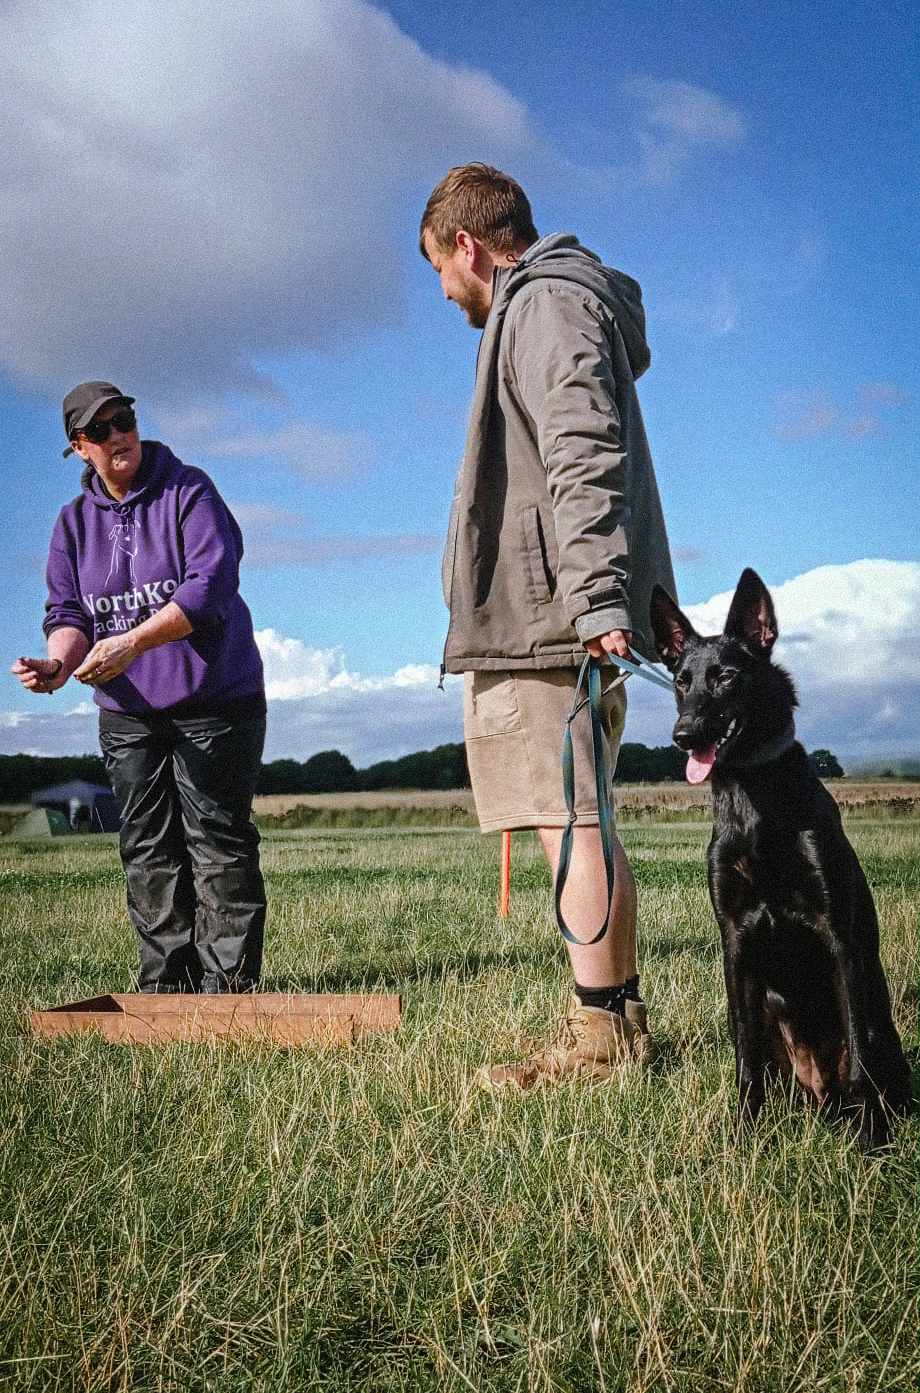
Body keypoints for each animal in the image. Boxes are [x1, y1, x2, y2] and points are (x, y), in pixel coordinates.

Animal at [646, 568, 914, 1153]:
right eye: (680, 680)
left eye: (726, 677)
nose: (683, 737)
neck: (755, 801)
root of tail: (820, 1094)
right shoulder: (735, 940)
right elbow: (745, 1062)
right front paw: (743, 1138)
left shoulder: (838, 934)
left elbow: (860, 1059)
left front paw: (872, 1146)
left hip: (879, 1022)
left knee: (867, 1063)